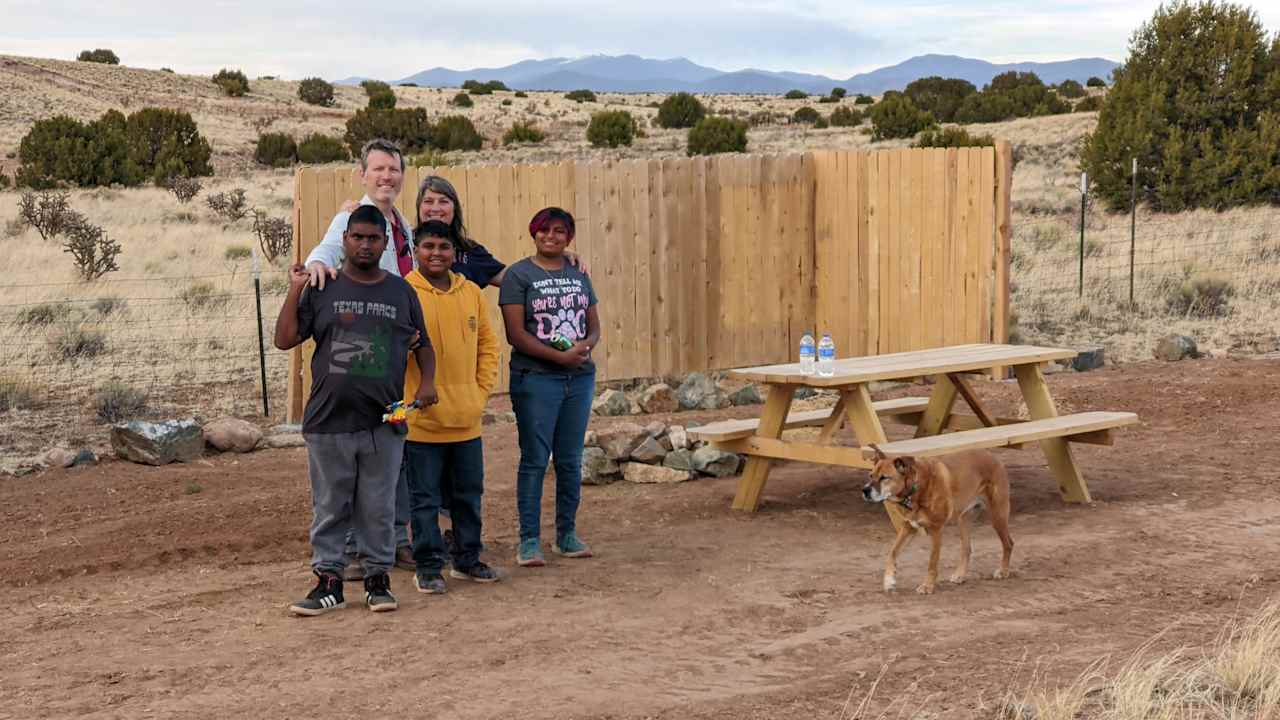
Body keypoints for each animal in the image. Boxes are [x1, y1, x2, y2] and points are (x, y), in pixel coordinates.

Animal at [865, 443, 1013, 594]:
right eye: (871, 475)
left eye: (884, 477)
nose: (864, 491)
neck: (916, 487)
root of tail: (993, 456)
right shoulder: (908, 527)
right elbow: (892, 553)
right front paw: (889, 580)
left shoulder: (936, 529)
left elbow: (932, 562)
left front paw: (927, 585)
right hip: (963, 519)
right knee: (967, 549)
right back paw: (960, 575)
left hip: (997, 515)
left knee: (1008, 544)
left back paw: (1003, 571)